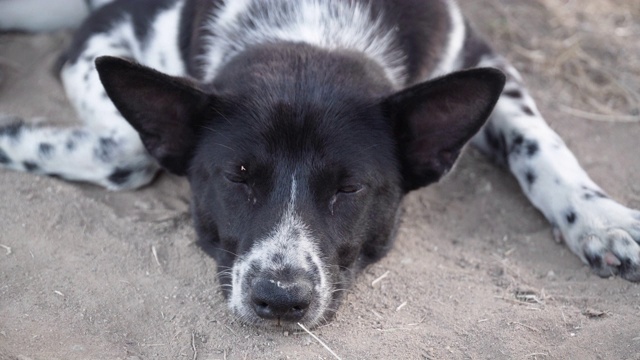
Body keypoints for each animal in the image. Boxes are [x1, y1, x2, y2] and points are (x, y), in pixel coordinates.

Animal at [1, 0, 640, 330]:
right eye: (237, 176)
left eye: (349, 187)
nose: (280, 299)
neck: (316, 23)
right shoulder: (100, 31)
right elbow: (130, 150)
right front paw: (10, 135)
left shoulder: (479, 54)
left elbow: (540, 139)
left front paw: (604, 221)